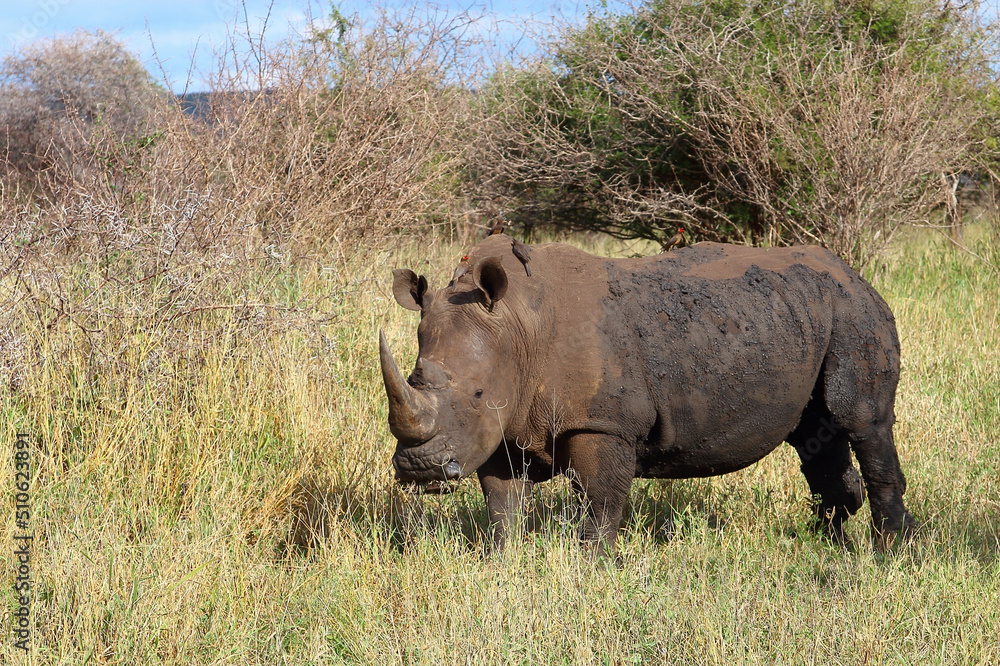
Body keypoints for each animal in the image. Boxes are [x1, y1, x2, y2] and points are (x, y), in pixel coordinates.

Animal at [380, 234, 916, 552]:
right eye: (413, 381)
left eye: (475, 393)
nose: (420, 470)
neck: (516, 327)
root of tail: (857, 275)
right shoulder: (501, 424)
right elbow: (502, 503)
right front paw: (501, 562)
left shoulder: (603, 422)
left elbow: (600, 501)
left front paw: (593, 567)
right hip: (803, 315)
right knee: (814, 433)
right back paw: (830, 540)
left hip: (855, 314)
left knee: (864, 422)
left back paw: (890, 551)